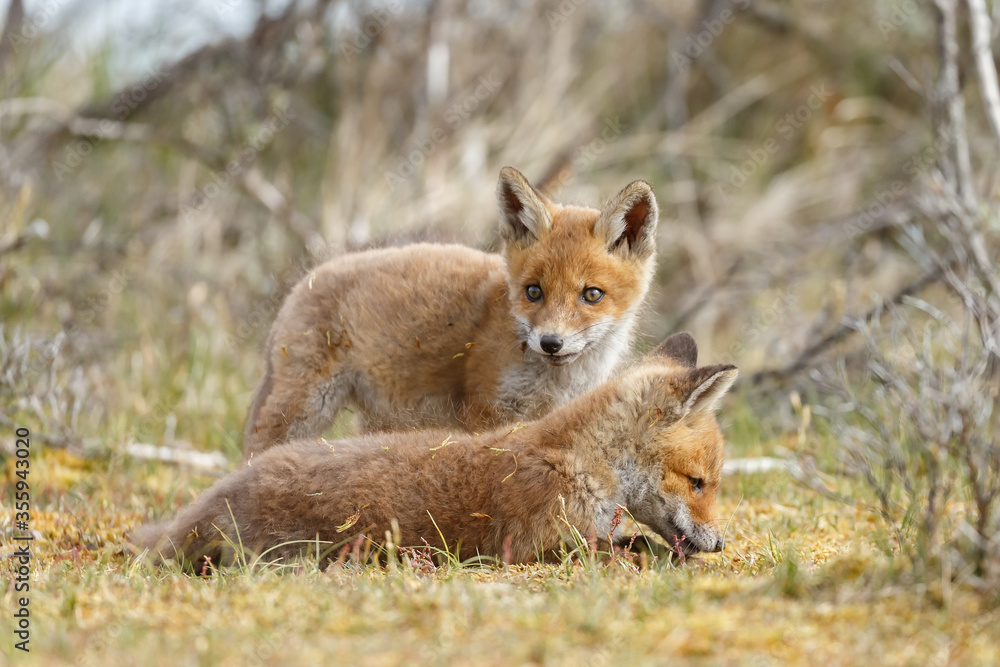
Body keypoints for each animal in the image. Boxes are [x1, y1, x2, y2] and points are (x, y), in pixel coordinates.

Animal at [243, 166, 660, 458]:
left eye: (592, 294)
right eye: (534, 292)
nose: (550, 343)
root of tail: (303, 283)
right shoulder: (484, 411)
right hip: (303, 409)